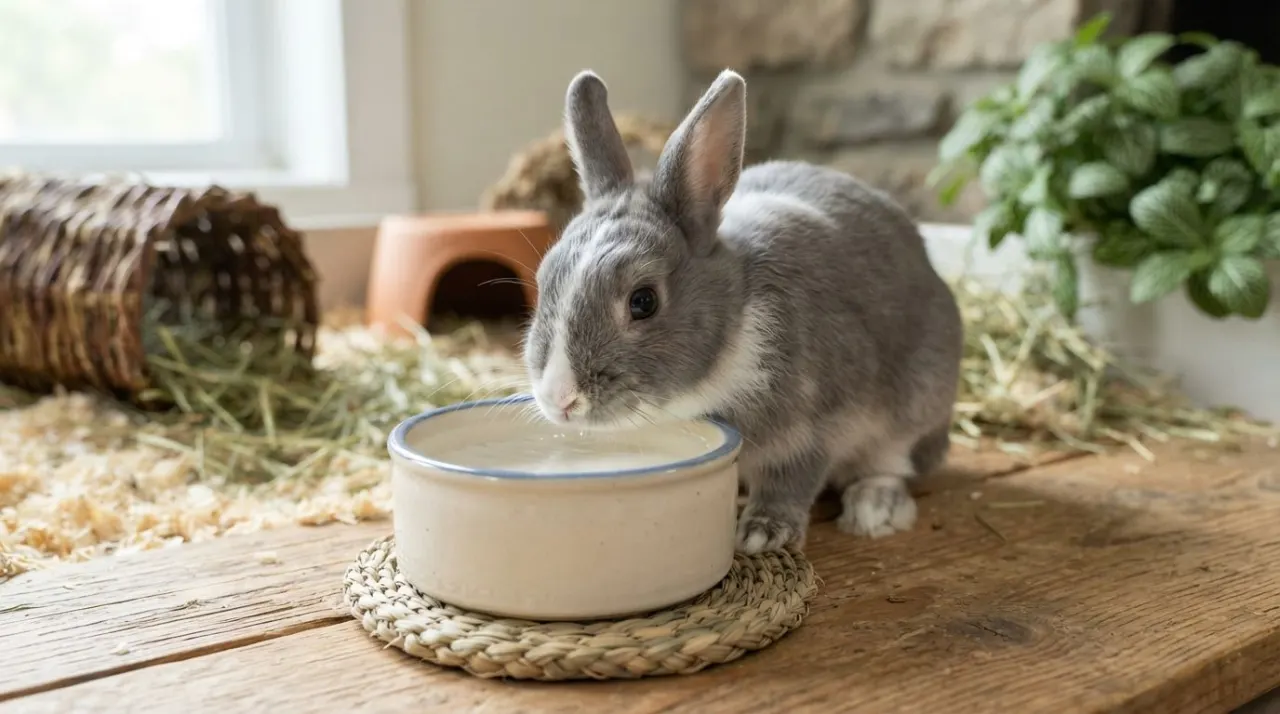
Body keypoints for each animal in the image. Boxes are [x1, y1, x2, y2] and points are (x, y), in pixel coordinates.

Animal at [522, 68, 964, 554]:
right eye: (543, 281)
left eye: (643, 301)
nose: (559, 399)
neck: (733, 326)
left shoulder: (816, 427)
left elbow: (793, 480)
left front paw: (762, 534)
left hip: (918, 403)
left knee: (894, 463)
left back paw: (873, 507)